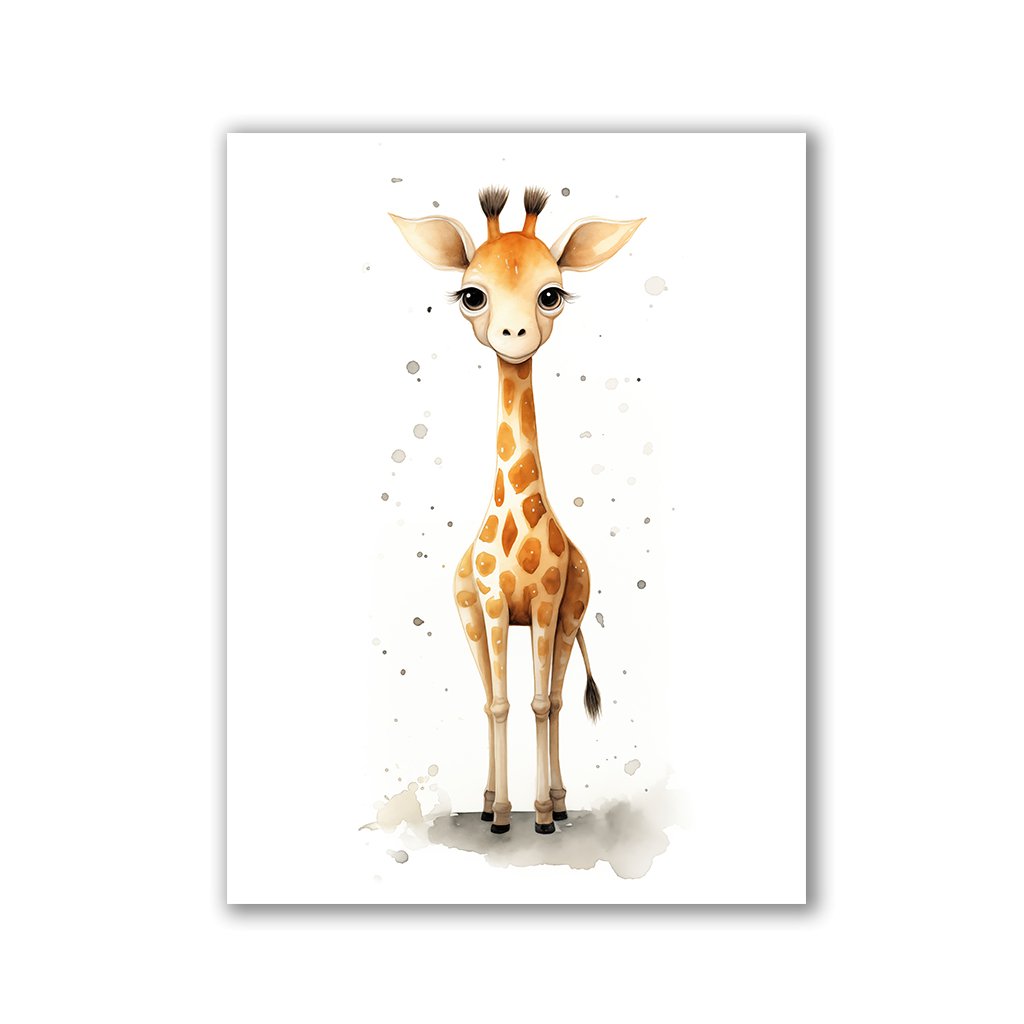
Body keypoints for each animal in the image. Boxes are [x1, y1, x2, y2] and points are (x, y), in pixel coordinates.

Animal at [391, 186, 643, 834]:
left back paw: (557, 798)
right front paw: (503, 813)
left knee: (555, 699)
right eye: (472, 294)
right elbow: (501, 703)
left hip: (571, 616)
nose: (514, 332)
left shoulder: (549, 603)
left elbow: (538, 702)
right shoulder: (494, 607)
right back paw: (485, 803)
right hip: (469, 620)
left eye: (550, 293)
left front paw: (543, 815)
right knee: (487, 698)